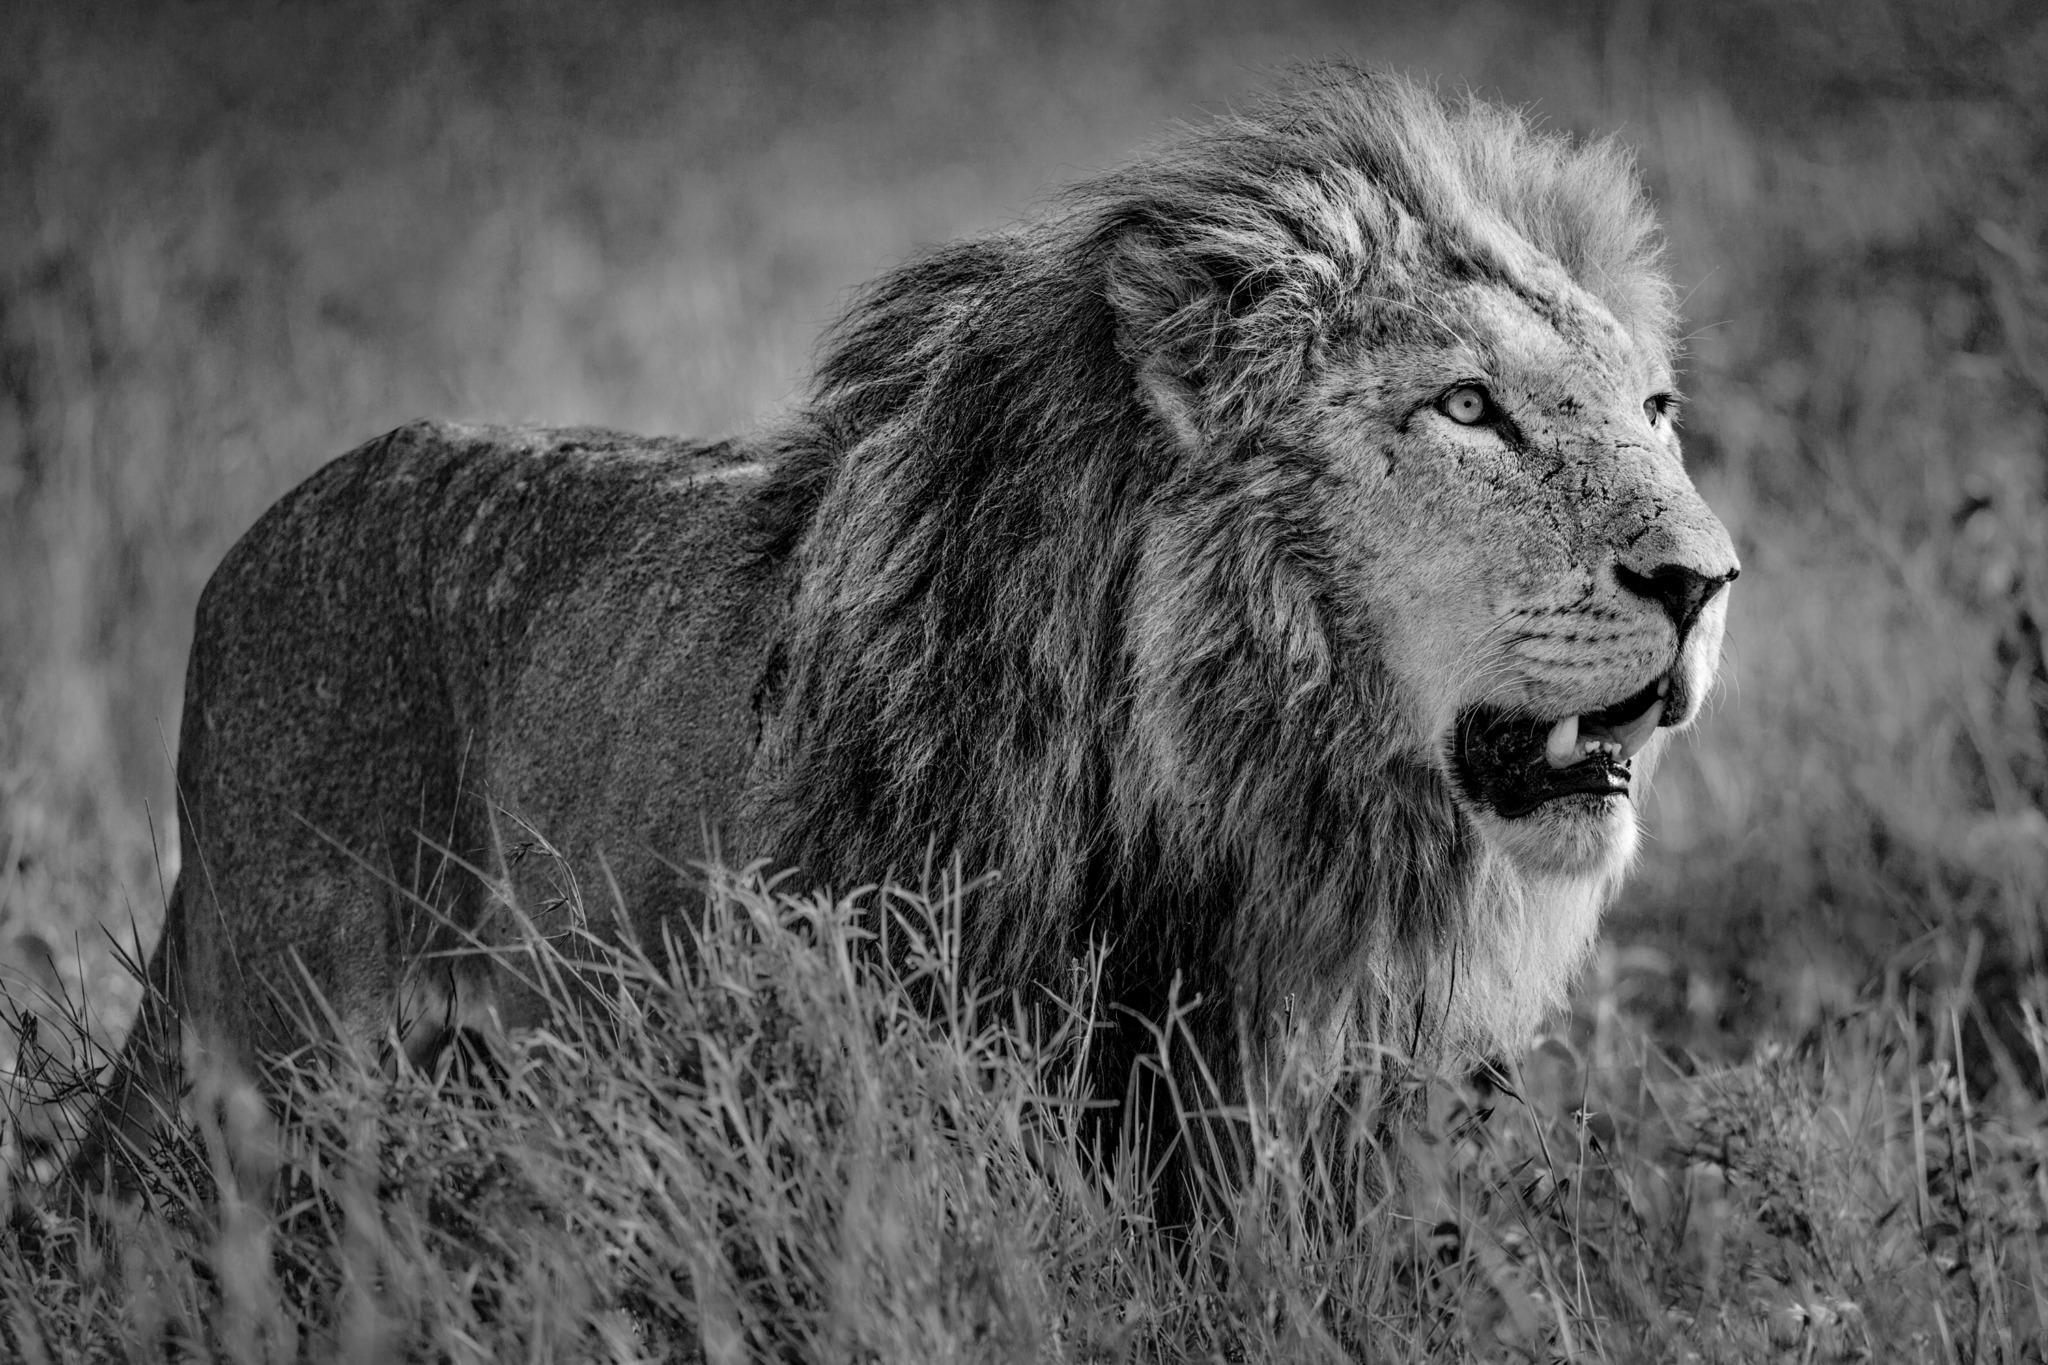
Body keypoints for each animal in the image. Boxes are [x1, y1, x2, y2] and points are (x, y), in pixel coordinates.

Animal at [71, 69, 1736, 1195]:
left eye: (1655, 410)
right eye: (1466, 408)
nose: (1708, 580)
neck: (1249, 804)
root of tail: (269, 530)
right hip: (268, 1061)